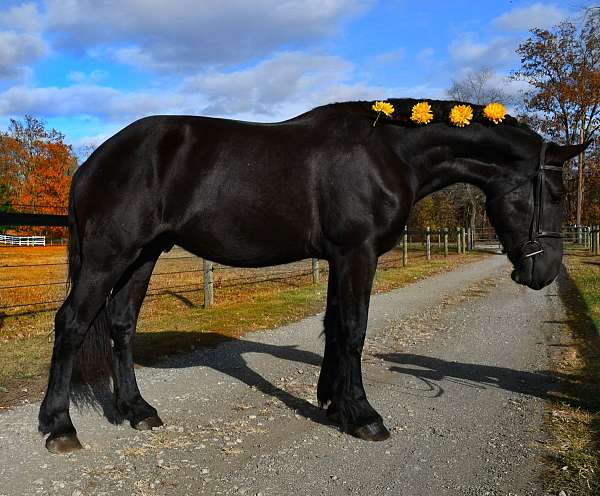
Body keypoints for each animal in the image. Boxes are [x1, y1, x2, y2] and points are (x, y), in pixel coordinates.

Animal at [38, 98, 592, 454]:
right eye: (555, 194)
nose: (545, 272)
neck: (388, 152)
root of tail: (94, 161)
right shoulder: (357, 253)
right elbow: (353, 329)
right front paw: (364, 416)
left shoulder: (340, 257)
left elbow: (334, 328)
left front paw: (333, 404)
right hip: (110, 254)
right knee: (71, 323)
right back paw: (60, 427)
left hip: (144, 255)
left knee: (121, 325)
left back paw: (136, 410)